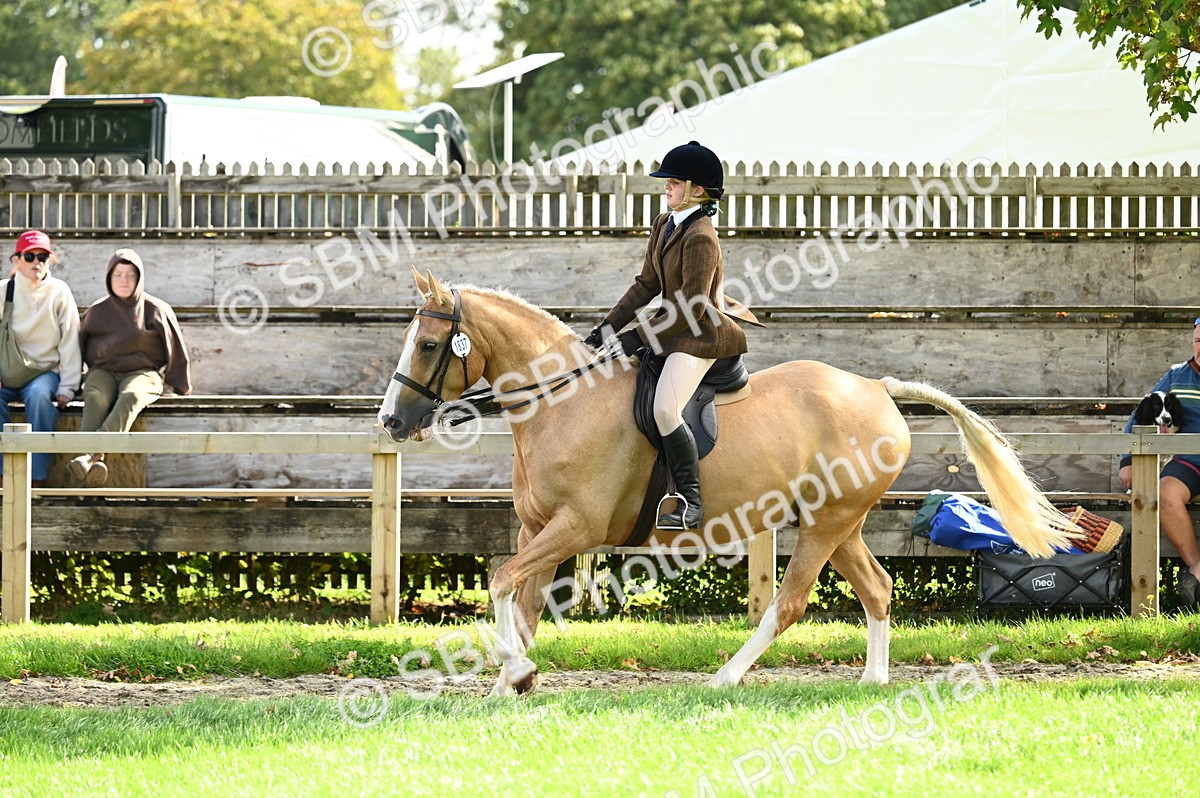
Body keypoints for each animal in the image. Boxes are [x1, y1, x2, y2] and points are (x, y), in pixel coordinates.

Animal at [378, 269, 1078, 697]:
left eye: (429, 345)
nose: (390, 420)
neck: (561, 401)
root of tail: (876, 388)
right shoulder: (538, 530)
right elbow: (519, 603)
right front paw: (512, 681)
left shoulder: (575, 527)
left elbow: (501, 582)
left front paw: (515, 671)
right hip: (836, 523)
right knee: (877, 590)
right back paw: (871, 682)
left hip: (825, 525)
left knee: (789, 604)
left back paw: (724, 678)